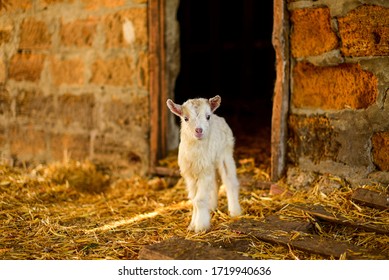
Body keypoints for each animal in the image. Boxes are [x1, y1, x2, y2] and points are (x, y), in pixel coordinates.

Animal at [166, 96, 241, 232]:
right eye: (185, 118)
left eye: (207, 116)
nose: (199, 130)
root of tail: (218, 117)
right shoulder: (190, 175)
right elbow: (194, 199)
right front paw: (192, 225)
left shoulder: (204, 172)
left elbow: (199, 200)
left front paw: (200, 226)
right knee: (215, 183)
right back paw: (211, 206)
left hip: (225, 154)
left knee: (229, 182)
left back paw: (235, 211)